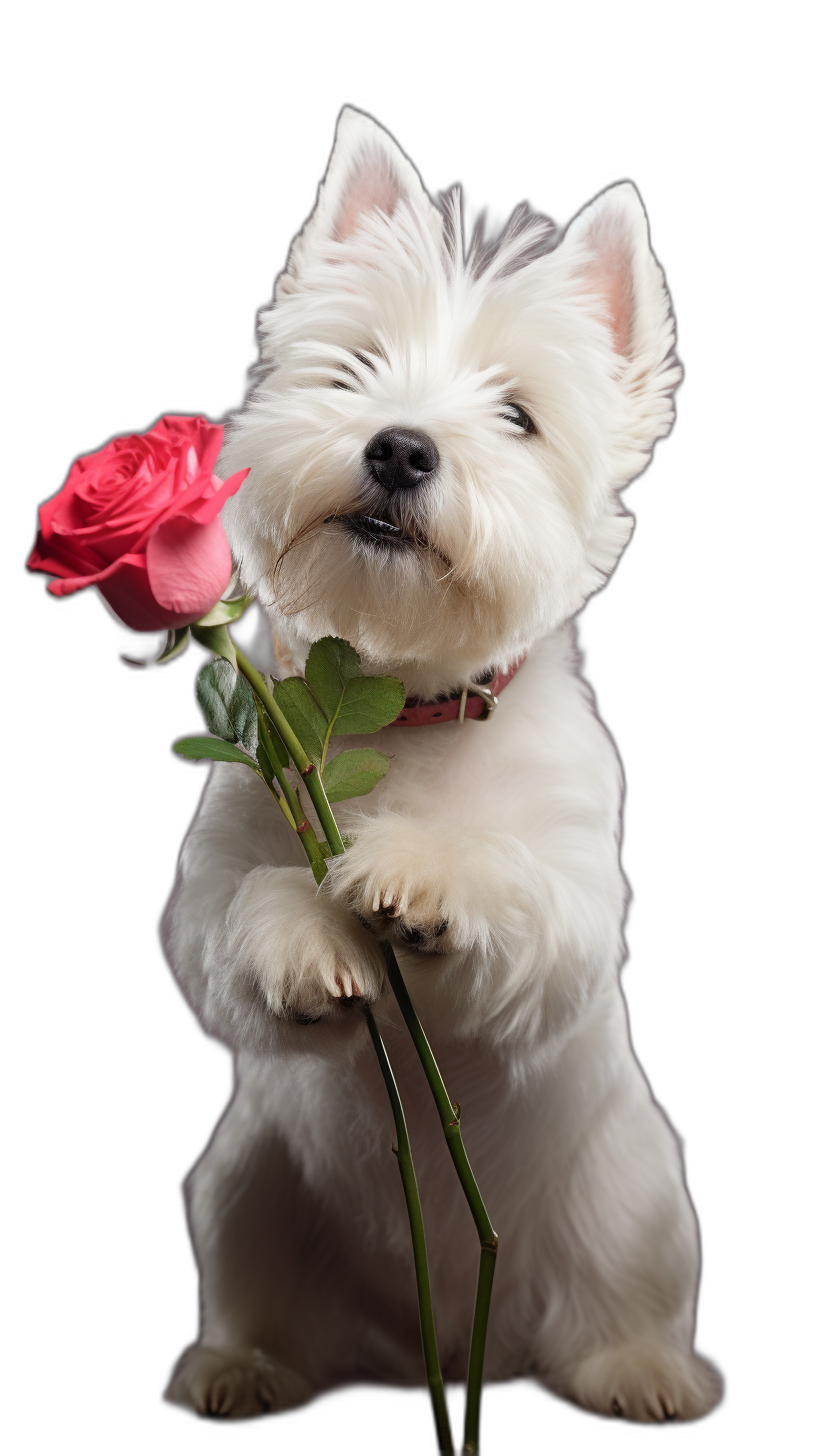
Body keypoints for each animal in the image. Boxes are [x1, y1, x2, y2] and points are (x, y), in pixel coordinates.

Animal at [162, 110, 722, 1421]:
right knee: (263, 1296)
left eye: (518, 416)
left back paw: (641, 1373)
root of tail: (456, 1347)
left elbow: (522, 898)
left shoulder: (575, 896)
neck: (406, 709)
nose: (402, 448)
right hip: (244, 1184)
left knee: (625, 1299)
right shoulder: (213, 879)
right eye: (355, 367)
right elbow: (231, 920)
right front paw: (307, 934)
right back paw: (244, 1368)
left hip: (636, 1195)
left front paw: (417, 876)